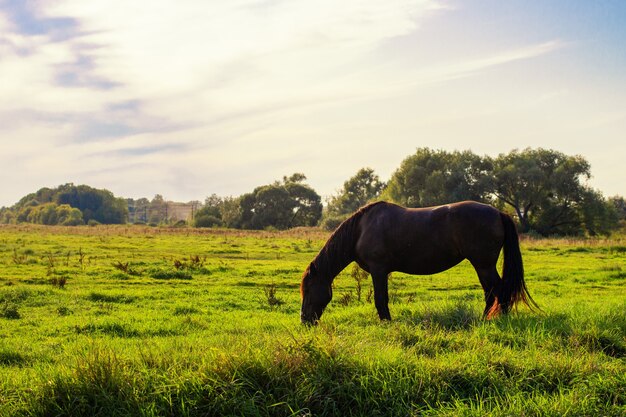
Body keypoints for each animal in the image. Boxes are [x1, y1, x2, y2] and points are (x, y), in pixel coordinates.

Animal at [298, 202, 536, 324]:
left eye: (308, 290)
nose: (305, 321)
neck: (360, 230)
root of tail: (498, 212)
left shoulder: (378, 270)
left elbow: (380, 299)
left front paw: (386, 323)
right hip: (483, 265)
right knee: (493, 291)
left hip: (483, 264)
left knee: (497, 290)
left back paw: (492, 319)